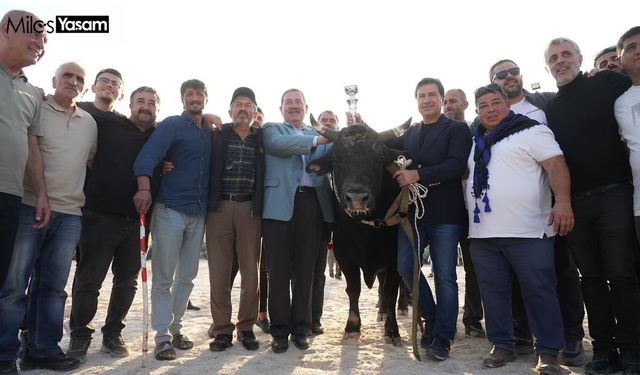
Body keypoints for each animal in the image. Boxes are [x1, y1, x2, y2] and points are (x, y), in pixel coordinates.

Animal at [306, 116, 410, 348]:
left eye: (378, 159)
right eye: (336, 158)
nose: (356, 198)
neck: (365, 229)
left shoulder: (394, 255)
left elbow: (391, 289)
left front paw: (392, 330)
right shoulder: (343, 254)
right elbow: (353, 288)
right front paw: (352, 328)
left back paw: (401, 307)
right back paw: (382, 310)